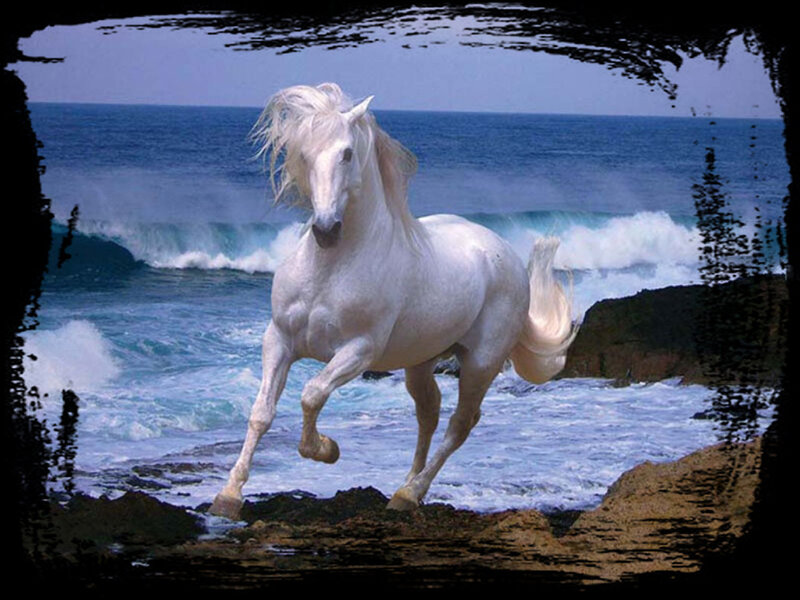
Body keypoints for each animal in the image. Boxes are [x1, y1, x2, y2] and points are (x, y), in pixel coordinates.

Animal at [210, 83, 577, 519]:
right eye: (304, 154)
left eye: (346, 153)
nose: (326, 230)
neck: (329, 270)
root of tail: (506, 254)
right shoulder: (278, 340)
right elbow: (261, 413)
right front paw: (229, 495)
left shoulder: (359, 351)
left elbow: (311, 393)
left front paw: (325, 450)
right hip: (420, 361)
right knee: (429, 413)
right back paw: (403, 489)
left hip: (481, 363)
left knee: (460, 423)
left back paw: (410, 492)